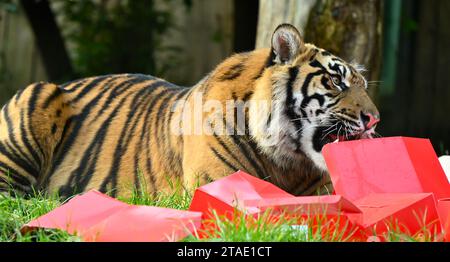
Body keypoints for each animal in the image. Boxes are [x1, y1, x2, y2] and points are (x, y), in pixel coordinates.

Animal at [0, 24, 380, 199]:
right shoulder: (217, 184)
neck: (287, 161)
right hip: (36, 97)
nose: (374, 119)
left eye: (361, 83)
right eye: (336, 81)